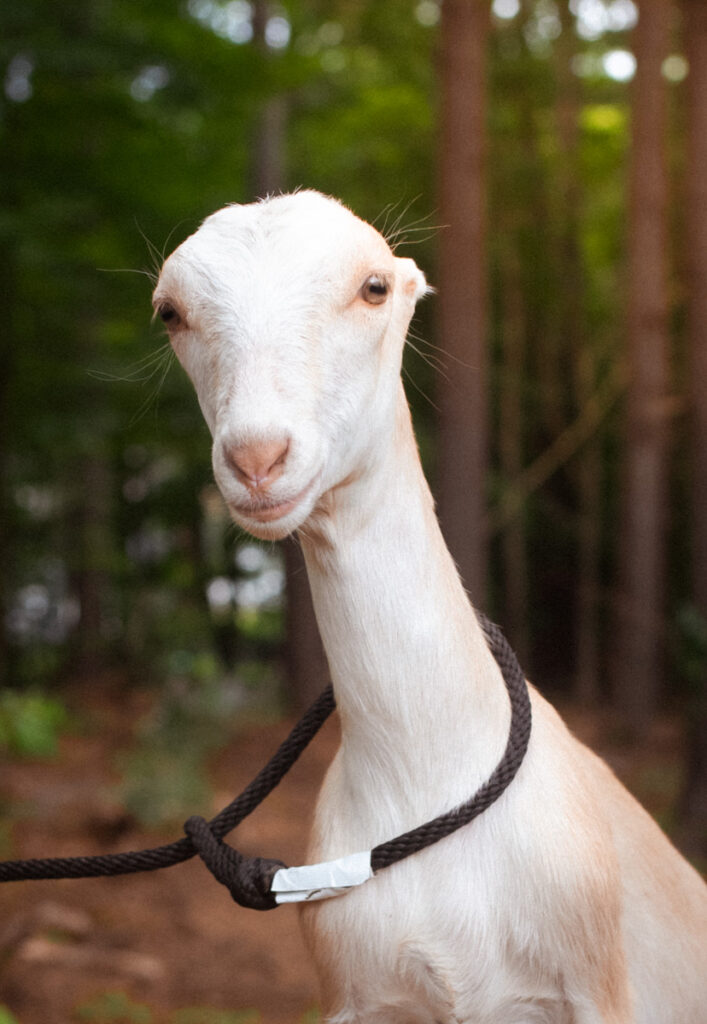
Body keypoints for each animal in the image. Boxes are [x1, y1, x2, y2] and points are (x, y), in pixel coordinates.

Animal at [153, 191, 707, 1024]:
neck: (430, 776)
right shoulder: (355, 993)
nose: (256, 458)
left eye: (374, 287)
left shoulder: (593, 983)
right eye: (170, 312)